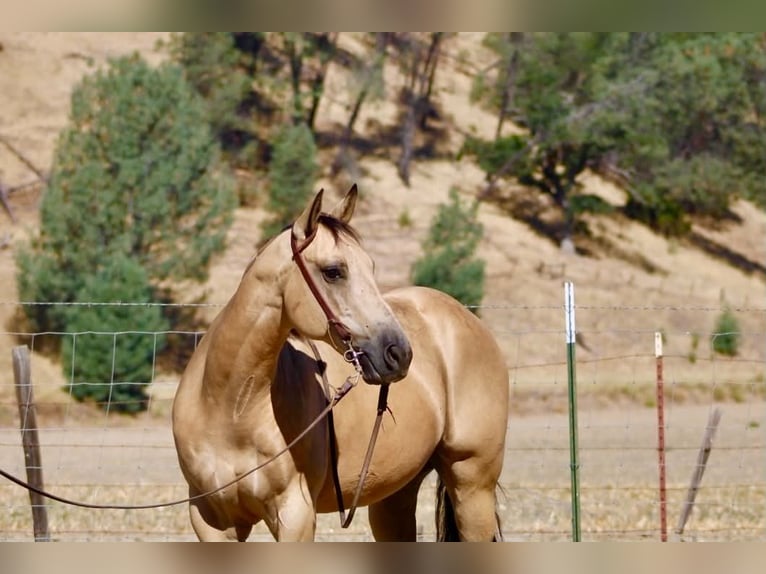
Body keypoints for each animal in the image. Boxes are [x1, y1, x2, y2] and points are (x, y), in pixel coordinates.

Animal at [172, 185, 509, 541]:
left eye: (371, 267)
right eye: (333, 271)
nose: (399, 352)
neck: (231, 406)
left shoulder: (295, 515)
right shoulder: (212, 520)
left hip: (472, 487)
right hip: (395, 496)